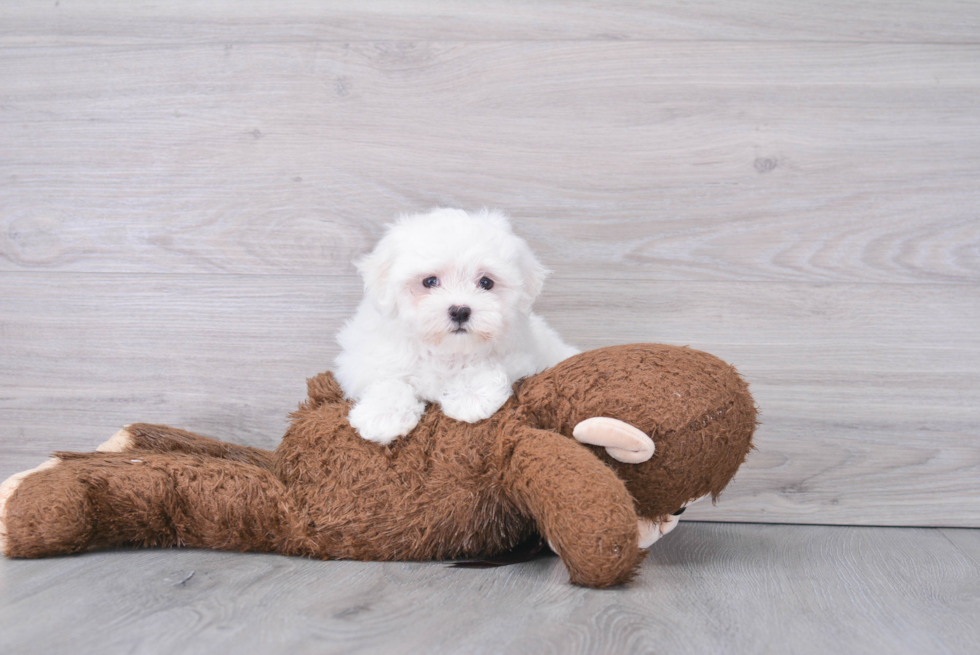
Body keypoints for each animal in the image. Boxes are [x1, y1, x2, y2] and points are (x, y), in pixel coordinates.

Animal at [336, 210, 580, 446]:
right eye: (430, 281)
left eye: (486, 283)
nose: (460, 311)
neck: (447, 349)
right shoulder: (363, 359)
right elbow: (387, 379)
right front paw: (384, 416)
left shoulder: (521, 357)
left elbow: (485, 363)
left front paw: (471, 397)